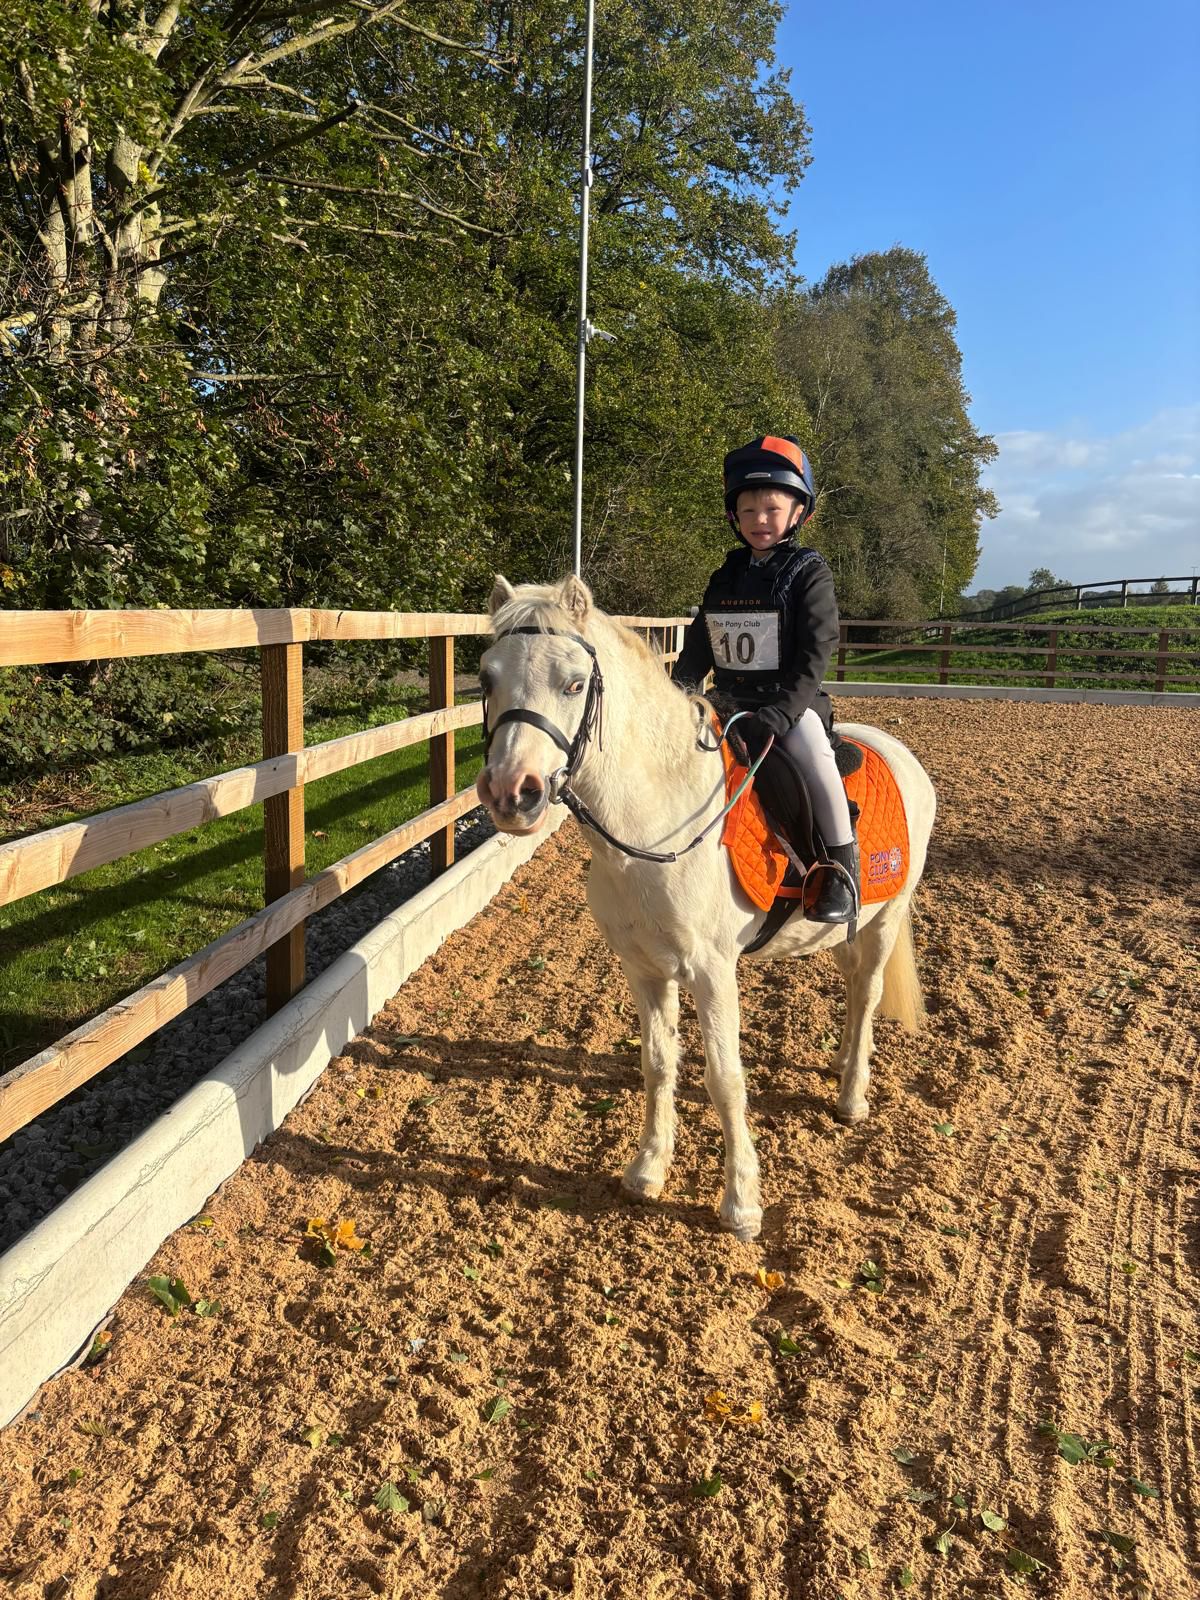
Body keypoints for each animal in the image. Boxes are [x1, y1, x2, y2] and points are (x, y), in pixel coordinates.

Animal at [474, 575, 937, 1241]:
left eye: (574, 683)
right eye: (487, 679)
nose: (513, 793)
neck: (655, 819)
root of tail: (896, 750)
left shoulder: (713, 971)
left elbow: (724, 1078)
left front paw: (741, 1203)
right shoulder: (644, 968)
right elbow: (658, 1062)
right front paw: (648, 1169)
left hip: (885, 919)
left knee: (869, 991)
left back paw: (852, 1096)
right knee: (853, 990)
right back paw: (843, 1063)